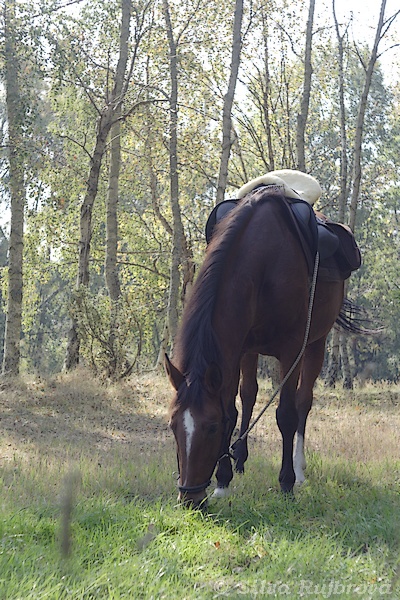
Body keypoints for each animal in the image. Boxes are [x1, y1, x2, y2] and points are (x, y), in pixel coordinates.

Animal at [166, 188, 346, 506]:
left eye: (211, 427)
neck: (264, 261)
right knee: (249, 394)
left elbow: (286, 414)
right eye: (173, 425)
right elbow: (231, 409)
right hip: (249, 351)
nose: (190, 499)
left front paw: (286, 483)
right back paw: (240, 459)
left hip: (317, 343)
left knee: (303, 402)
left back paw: (299, 470)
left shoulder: (291, 350)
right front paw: (223, 480)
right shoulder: (234, 349)